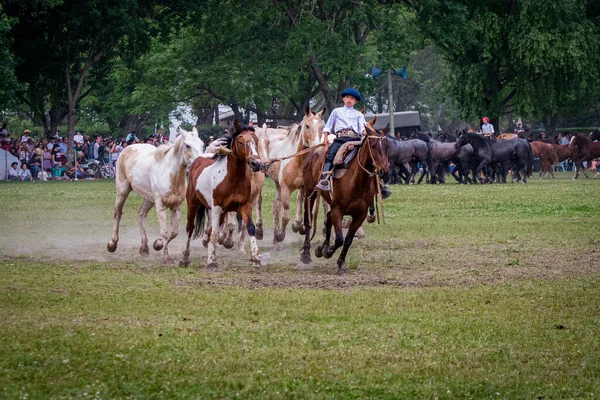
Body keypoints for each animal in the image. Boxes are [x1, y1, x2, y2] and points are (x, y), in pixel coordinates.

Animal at [106, 128, 204, 264]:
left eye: (202, 144)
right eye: (187, 145)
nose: (200, 162)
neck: (170, 175)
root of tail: (128, 148)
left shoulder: (177, 206)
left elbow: (174, 232)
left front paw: (157, 244)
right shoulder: (160, 206)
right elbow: (164, 232)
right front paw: (166, 258)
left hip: (149, 199)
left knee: (141, 214)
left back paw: (144, 248)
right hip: (122, 191)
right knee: (117, 214)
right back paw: (112, 244)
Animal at [179, 122, 262, 270]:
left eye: (256, 141)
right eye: (241, 142)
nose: (256, 163)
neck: (232, 178)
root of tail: (197, 160)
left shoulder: (244, 206)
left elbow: (250, 227)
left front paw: (255, 258)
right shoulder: (216, 208)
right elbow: (215, 233)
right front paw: (211, 261)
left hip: (222, 212)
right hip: (193, 204)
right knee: (190, 228)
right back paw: (184, 258)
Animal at [256, 106, 326, 242]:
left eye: (322, 126)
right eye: (307, 126)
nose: (318, 149)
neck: (297, 160)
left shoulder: (304, 187)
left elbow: (302, 204)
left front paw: (299, 226)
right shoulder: (286, 188)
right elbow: (286, 216)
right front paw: (280, 235)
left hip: (277, 182)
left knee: (276, 205)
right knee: (259, 201)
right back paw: (259, 230)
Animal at [300, 114, 390, 274]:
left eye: (387, 146)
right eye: (373, 145)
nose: (384, 172)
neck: (357, 182)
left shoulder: (360, 214)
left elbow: (347, 240)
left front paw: (339, 262)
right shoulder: (338, 209)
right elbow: (339, 239)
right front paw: (328, 251)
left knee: (328, 219)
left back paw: (321, 248)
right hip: (310, 193)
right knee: (308, 221)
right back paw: (306, 254)